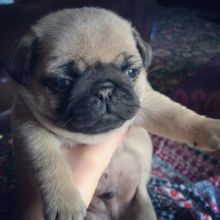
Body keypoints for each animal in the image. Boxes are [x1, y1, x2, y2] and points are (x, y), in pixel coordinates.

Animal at [6, 6, 220, 220]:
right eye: (61, 83)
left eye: (131, 72)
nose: (105, 90)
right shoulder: (29, 129)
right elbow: (49, 162)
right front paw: (65, 202)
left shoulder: (146, 101)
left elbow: (177, 115)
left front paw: (210, 128)